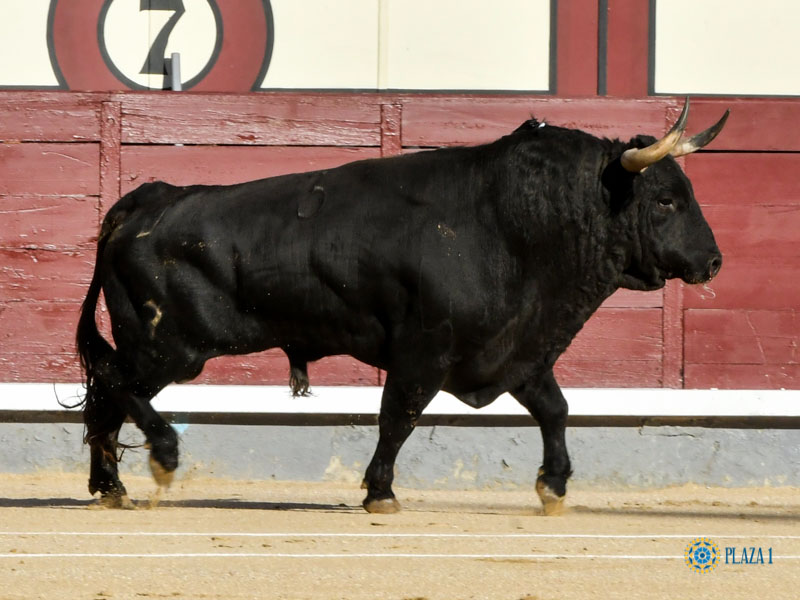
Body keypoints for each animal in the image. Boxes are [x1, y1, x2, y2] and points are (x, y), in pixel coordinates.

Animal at [78, 101, 728, 512]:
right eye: (665, 201)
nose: (714, 261)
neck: (514, 221)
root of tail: (145, 198)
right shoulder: (424, 354)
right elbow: (399, 418)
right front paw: (380, 492)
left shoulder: (513, 351)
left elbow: (556, 409)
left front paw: (554, 487)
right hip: (168, 347)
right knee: (114, 382)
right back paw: (161, 457)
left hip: (160, 349)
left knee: (107, 397)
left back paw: (111, 489)